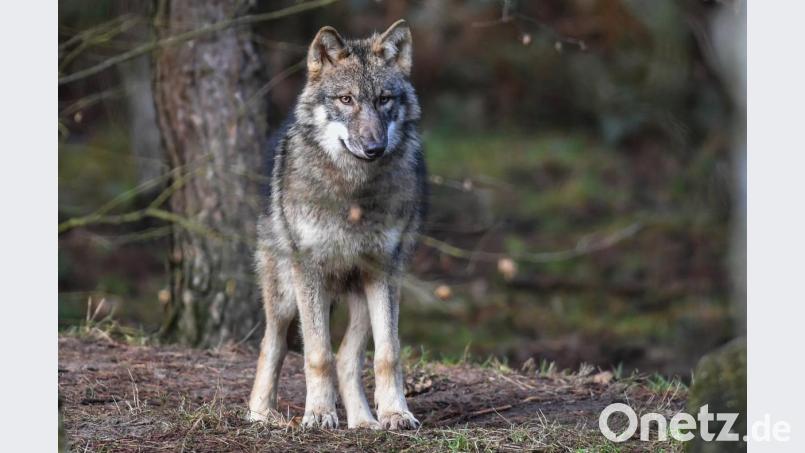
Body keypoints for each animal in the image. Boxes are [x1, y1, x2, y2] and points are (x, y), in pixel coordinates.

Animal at [247, 20, 427, 430]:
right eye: (346, 99)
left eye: (384, 99)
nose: (374, 147)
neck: (353, 192)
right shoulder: (309, 270)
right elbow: (317, 354)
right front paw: (318, 413)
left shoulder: (385, 270)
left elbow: (388, 354)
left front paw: (395, 413)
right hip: (286, 292)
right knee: (273, 344)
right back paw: (260, 413)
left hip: (361, 292)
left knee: (348, 358)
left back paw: (363, 422)